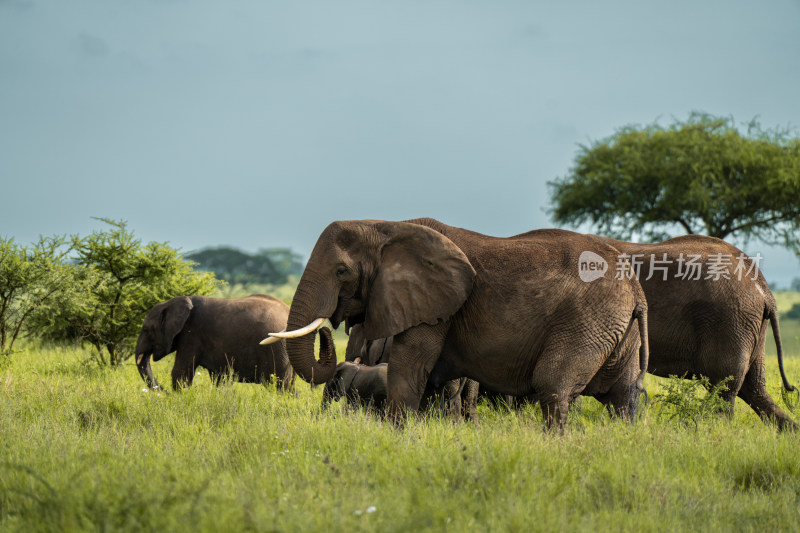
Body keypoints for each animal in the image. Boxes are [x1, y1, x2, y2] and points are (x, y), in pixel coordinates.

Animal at [266, 218, 648, 426]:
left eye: (341, 271)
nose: (329, 325)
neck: (384, 226)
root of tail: (634, 287)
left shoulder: (435, 306)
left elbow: (408, 369)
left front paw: (397, 438)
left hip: (586, 320)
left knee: (553, 386)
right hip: (614, 326)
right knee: (621, 395)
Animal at [596, 235, 796, 430]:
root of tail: (763, 289)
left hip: (729, 322)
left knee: (724, 387)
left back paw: (714, 430)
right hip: (750, 327)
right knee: (753, 388)